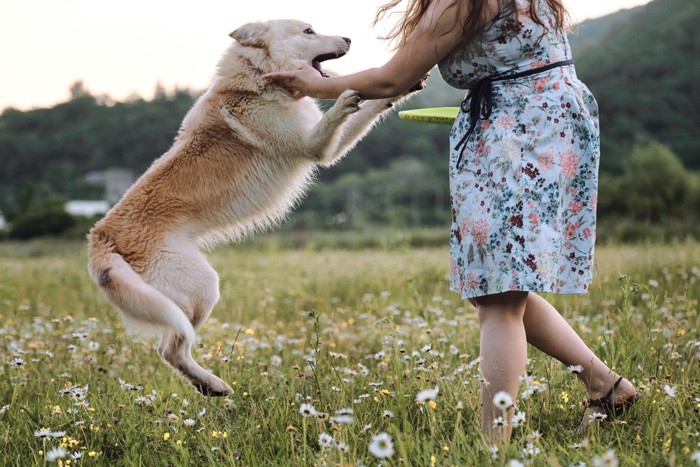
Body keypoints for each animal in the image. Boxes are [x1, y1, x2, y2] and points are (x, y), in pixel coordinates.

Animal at [85, 20, 418, 396]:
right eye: (308, 30)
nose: (348, 38)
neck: (259, 79)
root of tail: (101, 237)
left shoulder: (326, 144)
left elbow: (371, 109)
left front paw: (399, 89)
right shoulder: (315, 146)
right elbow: (338, 118)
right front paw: (346, 100)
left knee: (170, 349)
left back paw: (208, 386)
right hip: (201, 288)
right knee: (171, 348)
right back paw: (214, 385)